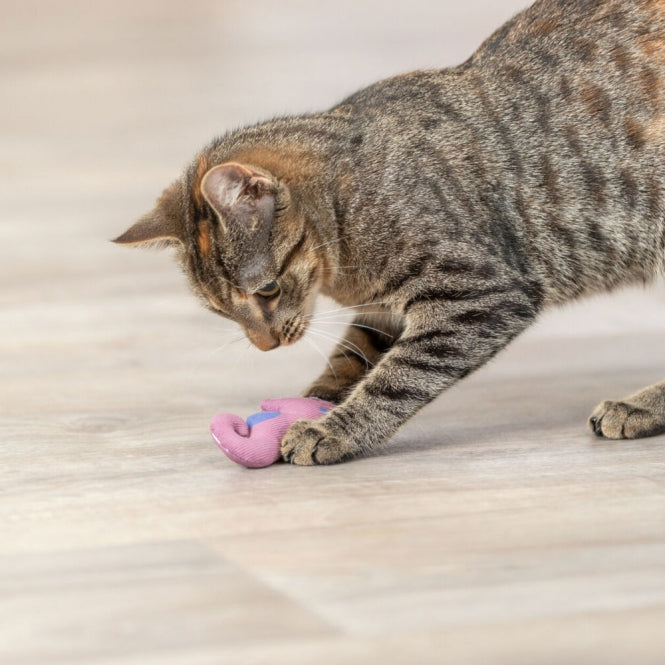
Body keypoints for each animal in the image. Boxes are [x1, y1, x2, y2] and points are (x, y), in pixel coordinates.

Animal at [115, 0, 664, 464]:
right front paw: (315, 401)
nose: (265, 346)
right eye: (220, 310)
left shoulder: (480, 295)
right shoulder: (383, 310)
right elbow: (349, 358)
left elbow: (399, 378)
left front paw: (334, 428)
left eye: (267, 289)